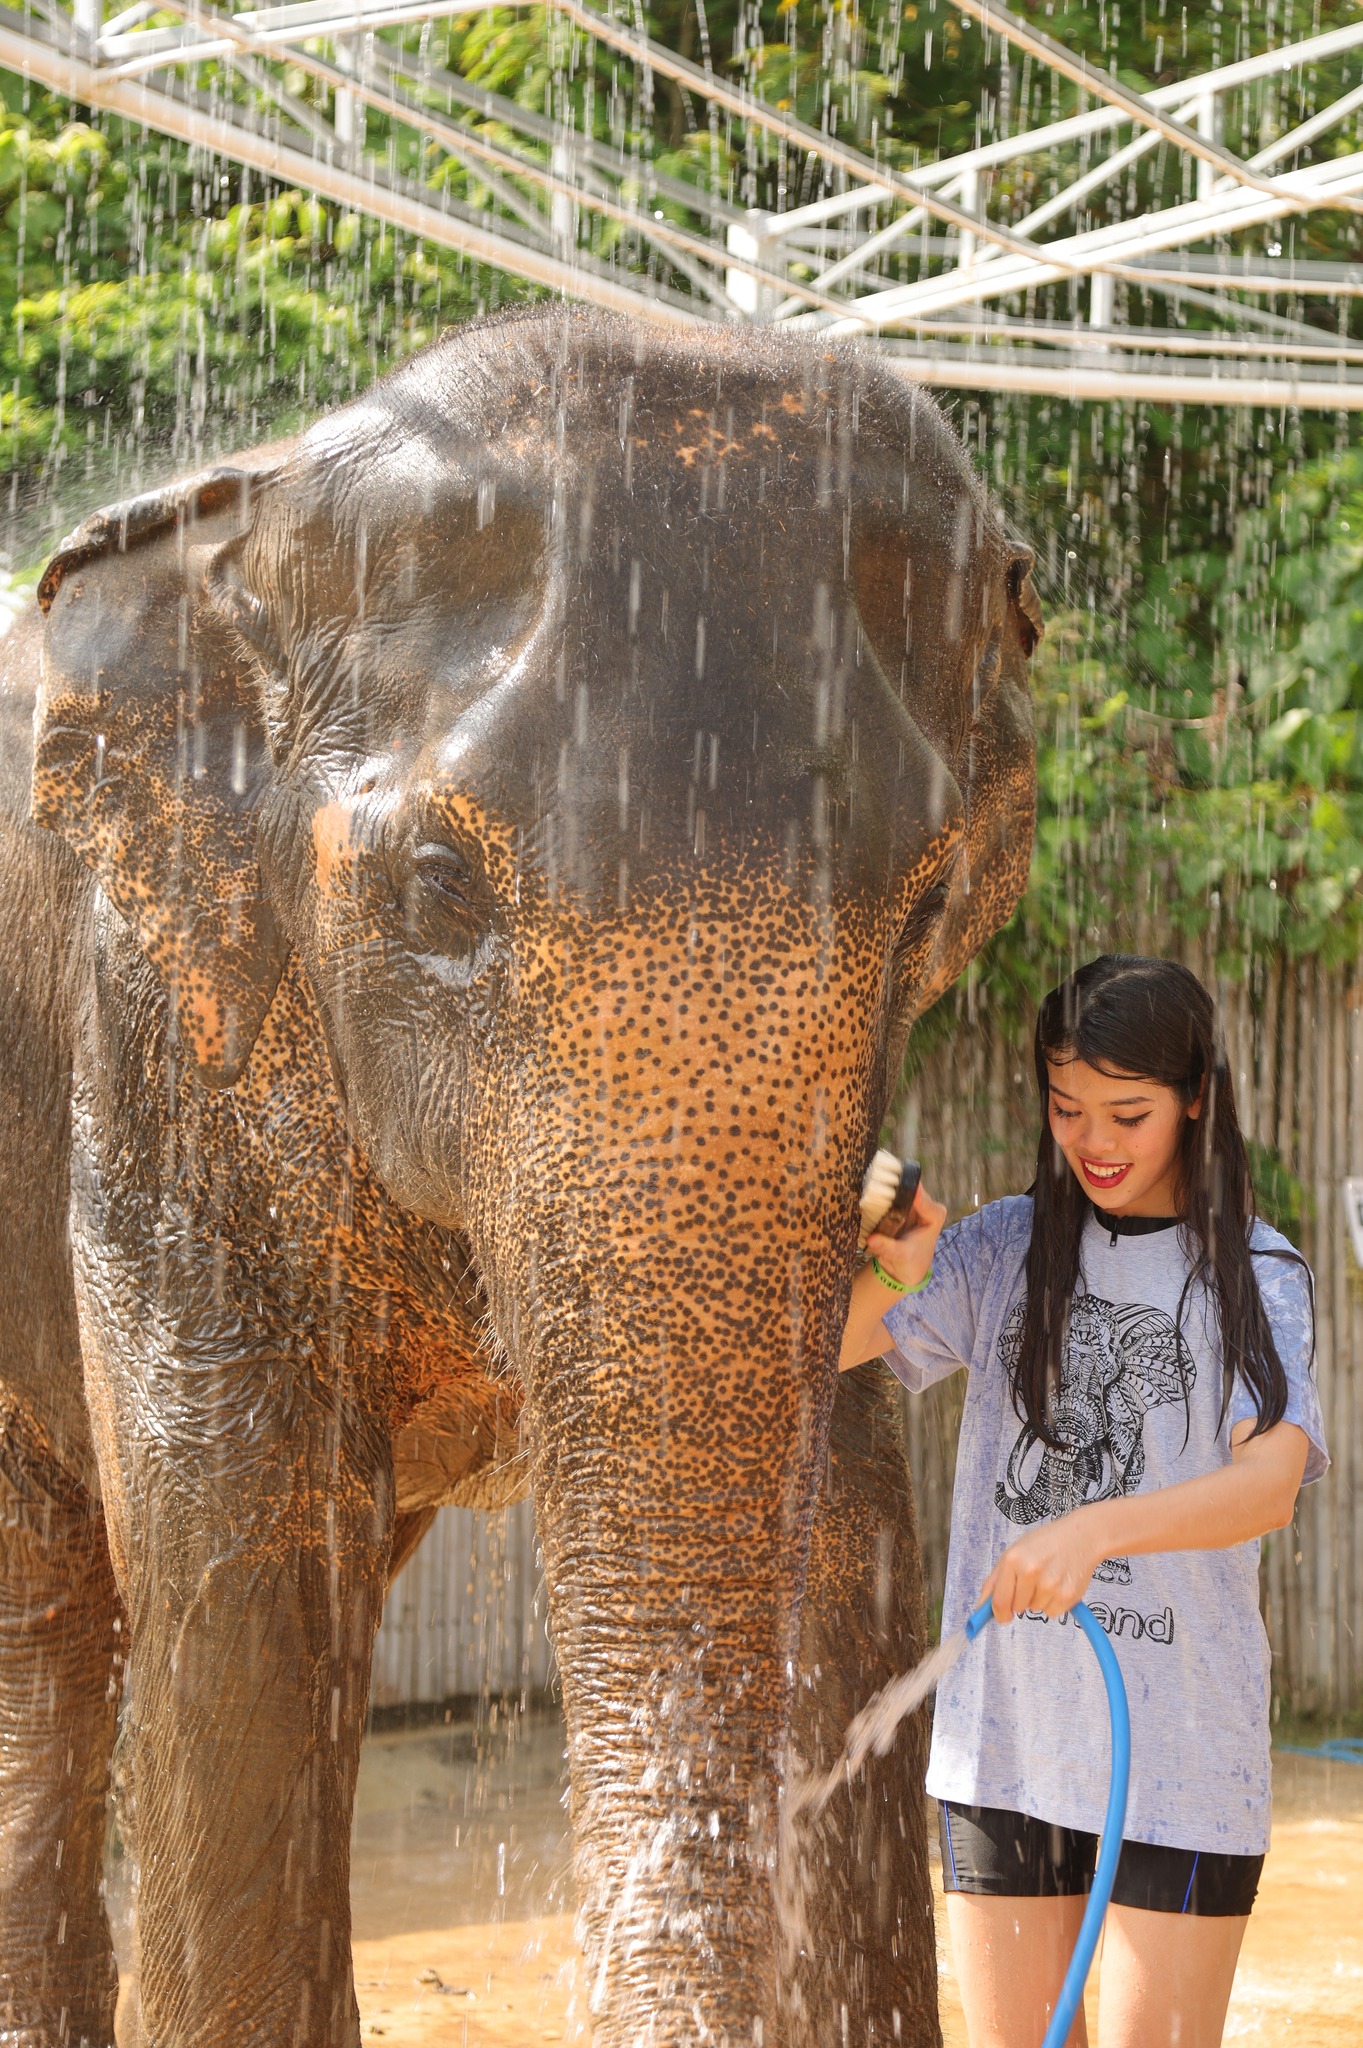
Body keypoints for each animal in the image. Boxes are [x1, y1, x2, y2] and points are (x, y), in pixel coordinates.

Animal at [0, 308, 1040, 2048]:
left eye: (923, 906)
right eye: (436, 889)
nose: (906, 1209)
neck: (262, 504)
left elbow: (848, 1538)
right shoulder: (156, 1031)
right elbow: (243, 1581)